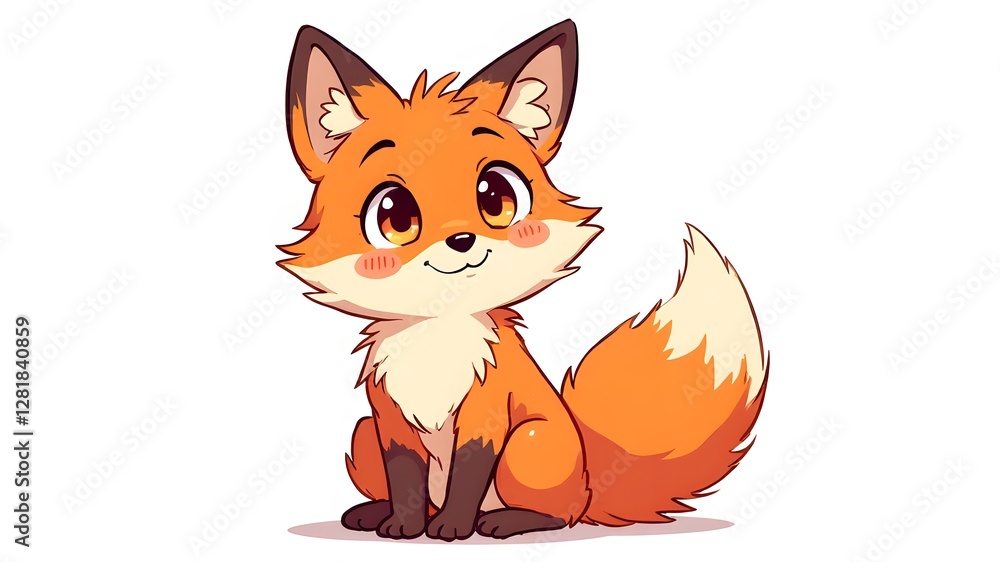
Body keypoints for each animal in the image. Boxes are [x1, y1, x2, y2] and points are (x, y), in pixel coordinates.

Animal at [277, 20, 768, 541]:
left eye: (496, 197)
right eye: (394, 215)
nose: (462, 240)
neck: (439, 339)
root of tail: (591, 485)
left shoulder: (487, 415)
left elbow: (469, 474)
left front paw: (453, 528)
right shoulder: (390, 422)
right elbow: (406, 478)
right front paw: (405, 528)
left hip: (530, 442)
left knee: (558, 514)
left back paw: (504, 520)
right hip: (363, 433)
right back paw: (376, 513)